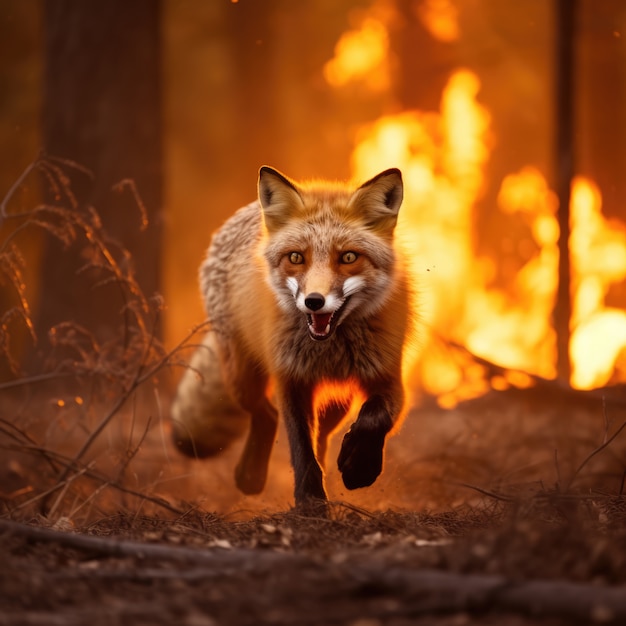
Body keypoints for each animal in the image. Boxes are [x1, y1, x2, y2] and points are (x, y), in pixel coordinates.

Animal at [171, 166, 412, 508]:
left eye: (349, 257)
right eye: (296, 258)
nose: (314, 301)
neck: (329, 348)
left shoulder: (387, 376)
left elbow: (374, 419)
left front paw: (360, 467)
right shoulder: (293, 379)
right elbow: (301, 451)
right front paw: (310, 504)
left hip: (338, 400)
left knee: (322, 437)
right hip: (243, 378)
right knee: (266, 414)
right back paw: (250, 477)